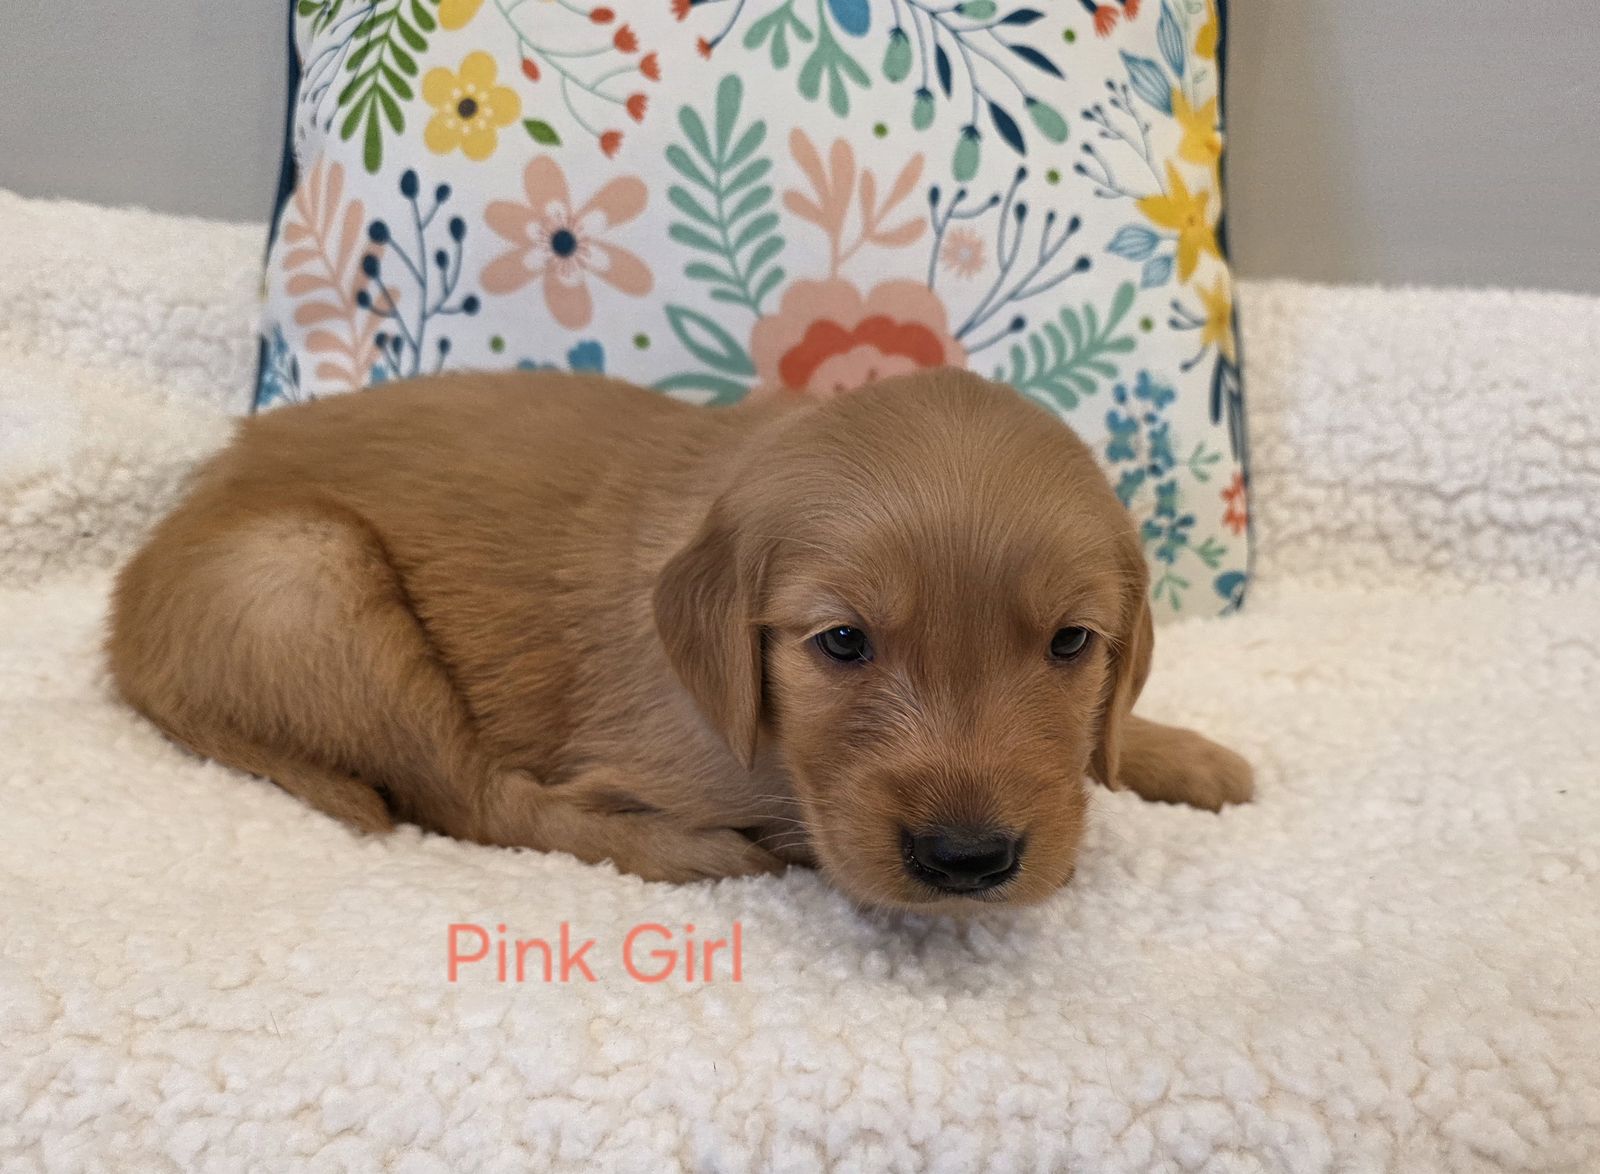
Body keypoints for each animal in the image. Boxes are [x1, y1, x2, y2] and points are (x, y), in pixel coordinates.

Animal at [107, 367, 1251, 911]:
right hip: (305, 574)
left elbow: (1109, 732)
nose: (966, 859)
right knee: (472, 798)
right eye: (841, 642)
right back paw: (697, 854)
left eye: (1071, 643)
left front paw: (1181, 753)